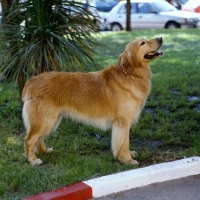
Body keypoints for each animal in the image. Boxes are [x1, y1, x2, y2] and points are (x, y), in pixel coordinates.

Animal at [22, 37, 162, 166]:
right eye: (142, 43)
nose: (160, 38)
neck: (130, 74)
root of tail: (31, 82)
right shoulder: (122, 122)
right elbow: (124, 143)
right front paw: (127, 159)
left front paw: (129, 155)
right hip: (45, 120)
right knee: (29, 139)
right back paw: (33, 160)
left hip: (52, 120)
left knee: (39, 139)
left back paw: (44, 151)